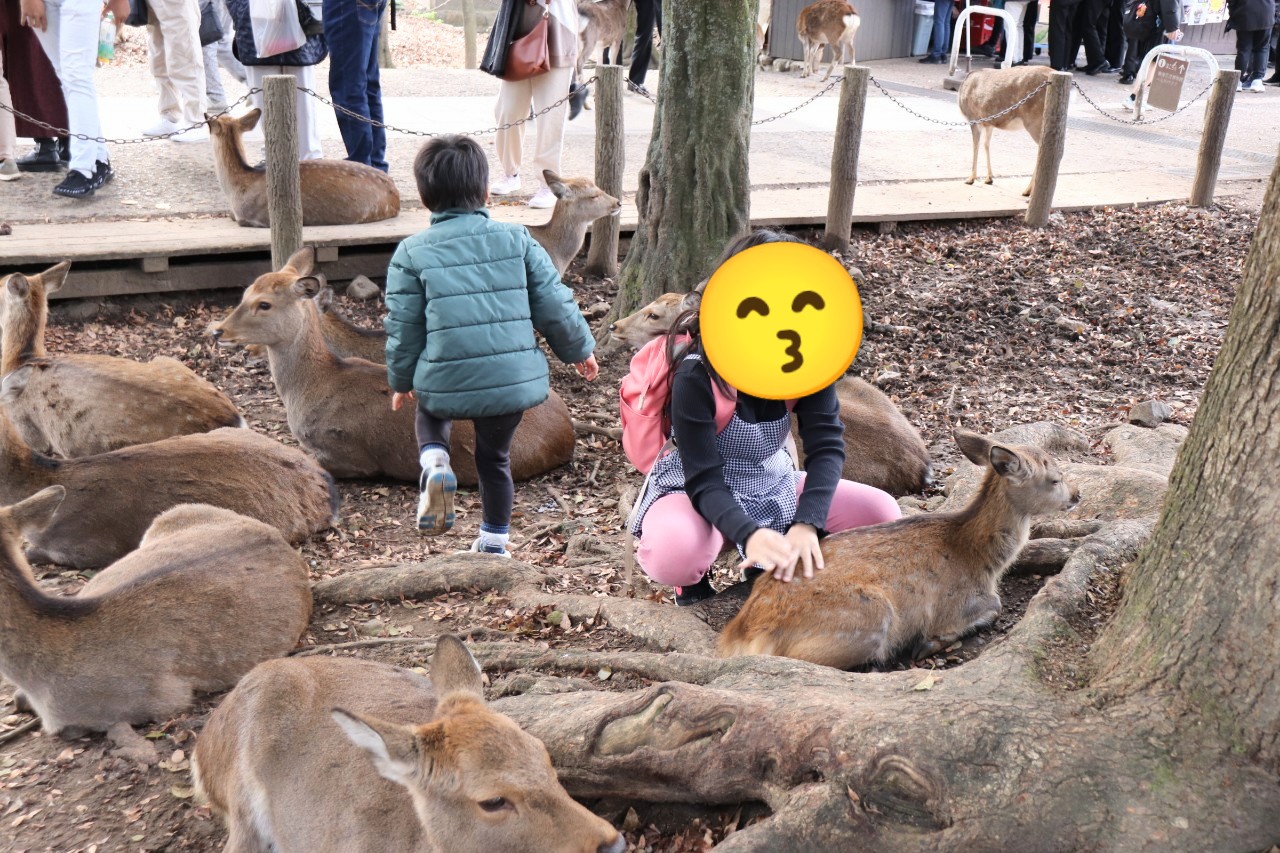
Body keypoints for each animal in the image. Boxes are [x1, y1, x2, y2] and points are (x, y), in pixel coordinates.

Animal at [210, 247, 576, 486]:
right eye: (245, 292)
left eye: (264, 304)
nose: (217, 330)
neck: (309, 388)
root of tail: (567, 430)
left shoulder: (352, 456)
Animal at [718, 430, 1079, 668]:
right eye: (1054, 478)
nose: (1078, 495)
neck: (983, 561)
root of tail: (739, 633)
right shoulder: (958, 602)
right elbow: (995, 606)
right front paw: (929, 643)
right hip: (870, 618)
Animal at [958, 65, 1056, 197]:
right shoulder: (989, 122)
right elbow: (986, 144)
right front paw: (989, 178)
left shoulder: (973, 118)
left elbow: (975, 145)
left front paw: (970, 178)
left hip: (1034, 120)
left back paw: (1027, 191)